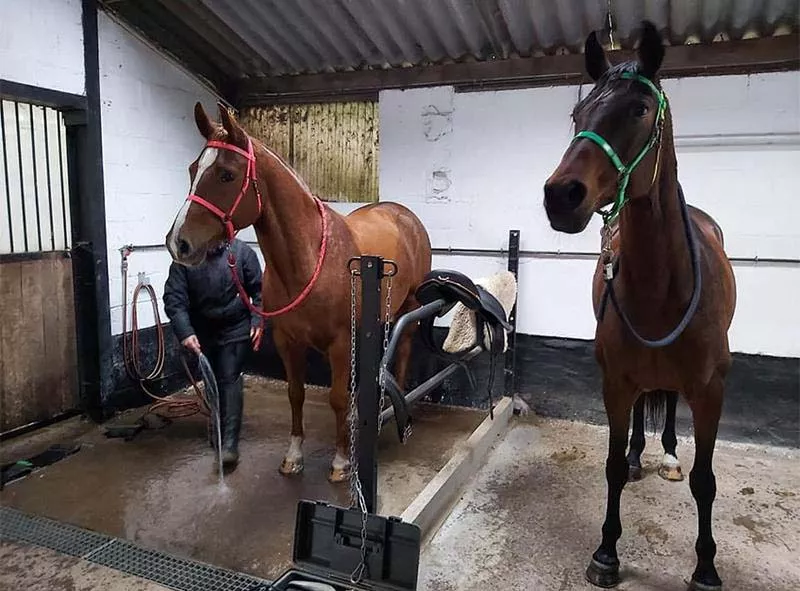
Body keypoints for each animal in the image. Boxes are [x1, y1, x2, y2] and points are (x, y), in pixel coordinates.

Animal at [164, 102, 432, 484]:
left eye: (227, 175)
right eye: (192, 169)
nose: (179, 243)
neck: (308, 258)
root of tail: (403, 215)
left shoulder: (339, 342)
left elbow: (336, 397)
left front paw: (341, 461)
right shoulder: (287, 341)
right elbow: (296, 394)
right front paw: (293, 457)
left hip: (409, 304)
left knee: (405, 346)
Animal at [544, 22, 736, 591]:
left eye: (638, 110)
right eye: (578, 115)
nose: (561, 195)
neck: (662, 286)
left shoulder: (710, 390)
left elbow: (705, 479)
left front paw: (706, 567)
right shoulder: (616, 382)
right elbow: (609, 466)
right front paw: (607, 552)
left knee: (669, 405)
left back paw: (668, 454)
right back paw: (637, 456)